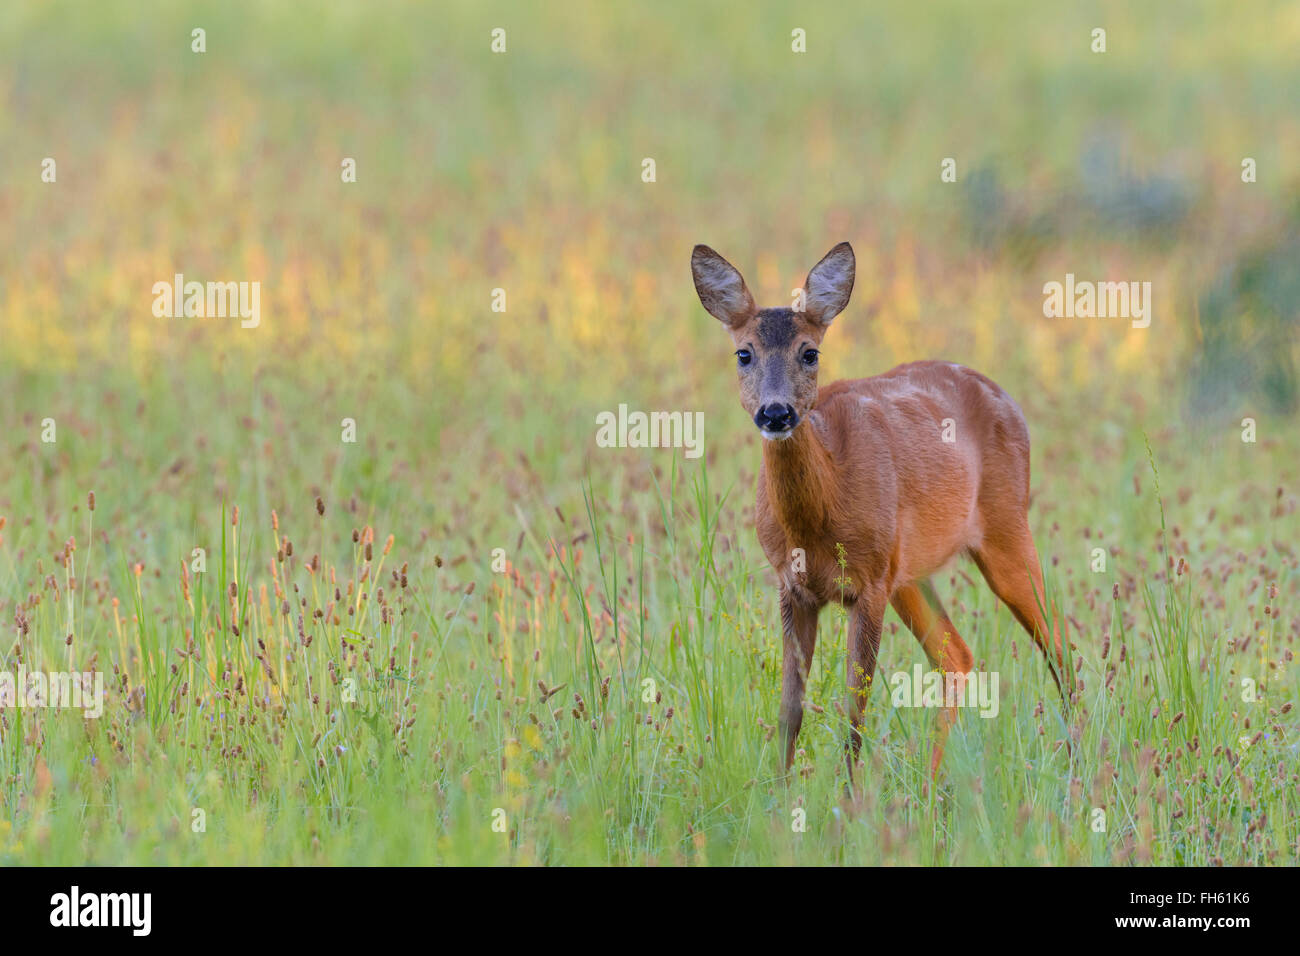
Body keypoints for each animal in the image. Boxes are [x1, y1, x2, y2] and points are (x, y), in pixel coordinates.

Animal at [691, 239, 1066, 785]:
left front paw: (847, 799)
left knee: (1058, 642)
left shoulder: (867, 585)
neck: (816, 519)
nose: (777, 412)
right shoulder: (792, 585)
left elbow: (855, 710)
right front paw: (777, 798)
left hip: (1005, 525)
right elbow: (790, 711)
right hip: (909, 572)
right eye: (744, 353)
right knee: (956, 655)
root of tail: (1007, 398)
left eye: (810, 351)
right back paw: (931, 790)